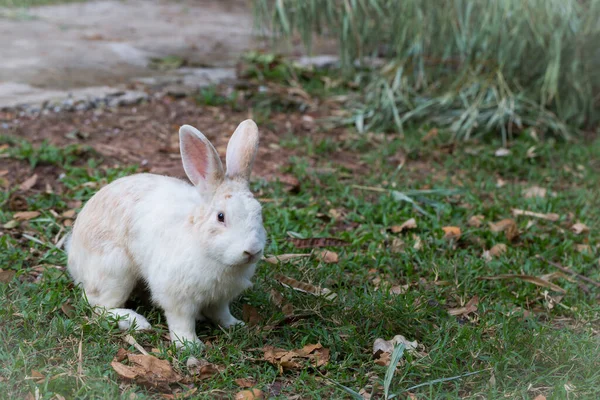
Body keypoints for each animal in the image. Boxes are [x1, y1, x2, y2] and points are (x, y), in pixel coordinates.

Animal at [64, 119, 266, 346]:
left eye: (259, 212)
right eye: (221, 216)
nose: (252, 251)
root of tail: (73, 255)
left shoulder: (220, 300)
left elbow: (221, 314)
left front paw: (236, 325)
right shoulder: (177, 298)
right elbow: (182, 322)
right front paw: (189, 345)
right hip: (114, 271)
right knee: (98, 305)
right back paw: (137, 321)